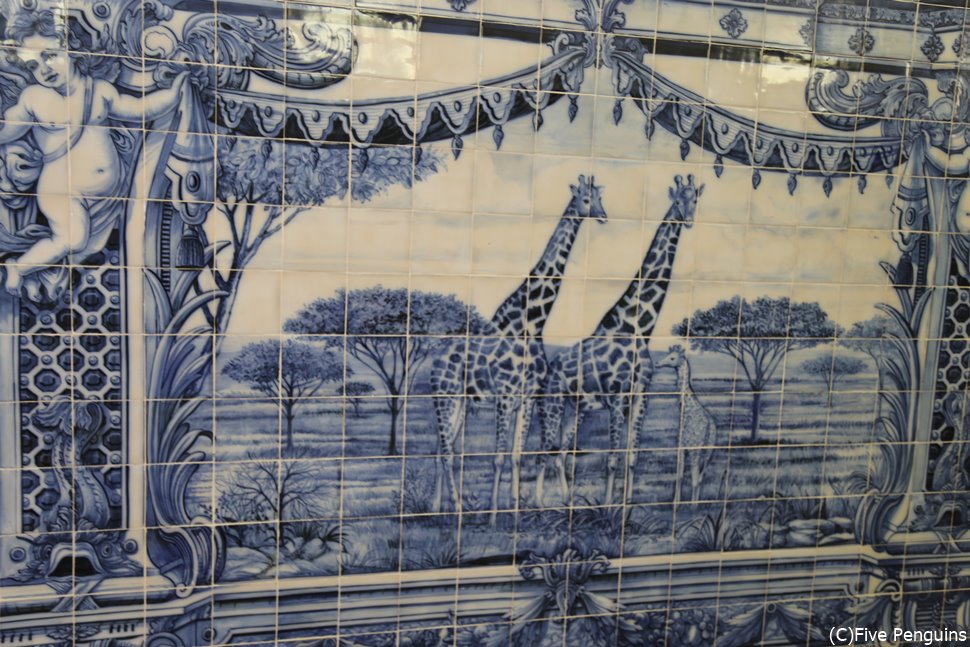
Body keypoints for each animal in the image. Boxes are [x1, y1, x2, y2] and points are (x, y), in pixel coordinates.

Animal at [430, 175, 607, 520]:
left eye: (600, 198)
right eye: (585, 199)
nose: (604, 216)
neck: (532, 323)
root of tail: (435, 358)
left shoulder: (525, 399)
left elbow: (517, 456)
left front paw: (513, 511)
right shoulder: (504, 397)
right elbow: (498, 457)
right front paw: (492, 516)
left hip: (460, 402)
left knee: (442, 449)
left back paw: (435, 507)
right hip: (444, 397)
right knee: (445, 451)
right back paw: (455, 508)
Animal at [536, 174, 703, 506]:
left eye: (695, 199)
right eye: (678, 199)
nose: (689, 220)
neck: (637, 326)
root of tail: (552, 367)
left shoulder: (639, 397)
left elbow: (632, 457)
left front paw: (625, 508)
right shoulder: (616, 399)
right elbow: (612, 459)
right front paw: (606, 508)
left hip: (575, 408)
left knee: (561, 454)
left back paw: (566, 501)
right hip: (553, 402)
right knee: (543, 452)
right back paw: (534, 504)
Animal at [656, 344, 717, 504]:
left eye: (672, 358)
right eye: (667, 354)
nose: (657, 363)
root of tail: (710, 429)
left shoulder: (684, 447)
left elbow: (682, 476)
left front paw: (676, 505)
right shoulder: (684, 448)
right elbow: (680, 476)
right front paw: (676, 504)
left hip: (696, 451)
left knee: (696, 479)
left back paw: (692, 506)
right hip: (709, 452)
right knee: (700, 478)